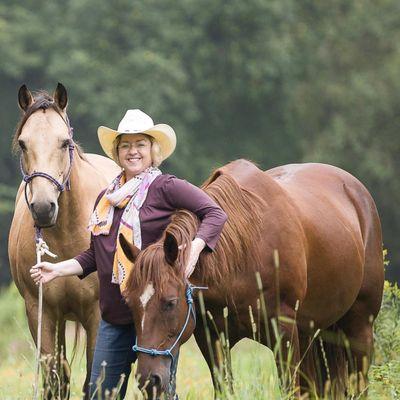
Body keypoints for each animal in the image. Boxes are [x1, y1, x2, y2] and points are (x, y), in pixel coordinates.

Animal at [7, 83, 119, 396]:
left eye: (64, 142)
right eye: (23, 143)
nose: (44, 208)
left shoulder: (96, 315)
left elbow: (95, 379)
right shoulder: (41, 312)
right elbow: (56, 379)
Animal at [119, 159, 384, 396]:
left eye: (170, 303)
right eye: (129, 304)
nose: (148, 380)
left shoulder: (284, 333)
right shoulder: (212, 337)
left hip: (359, 329)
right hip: (313, 335)